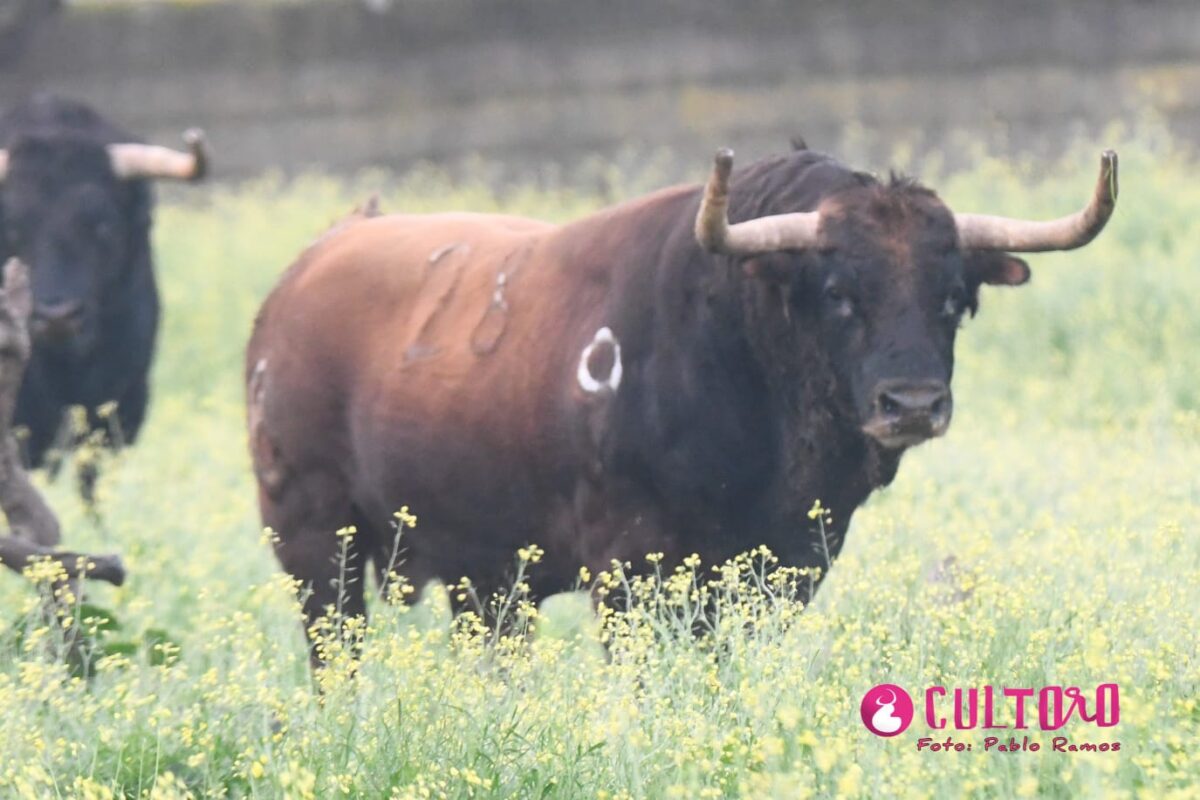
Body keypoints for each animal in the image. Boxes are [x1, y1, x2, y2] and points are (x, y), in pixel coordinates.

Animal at [248, 146, 1118, 662]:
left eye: (954, 299)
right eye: (838, 292)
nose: (912, 403)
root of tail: (312, 264)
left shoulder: (787, 567)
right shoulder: (634, 572)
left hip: (481, 573)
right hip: (315, 542)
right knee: (336, 653)